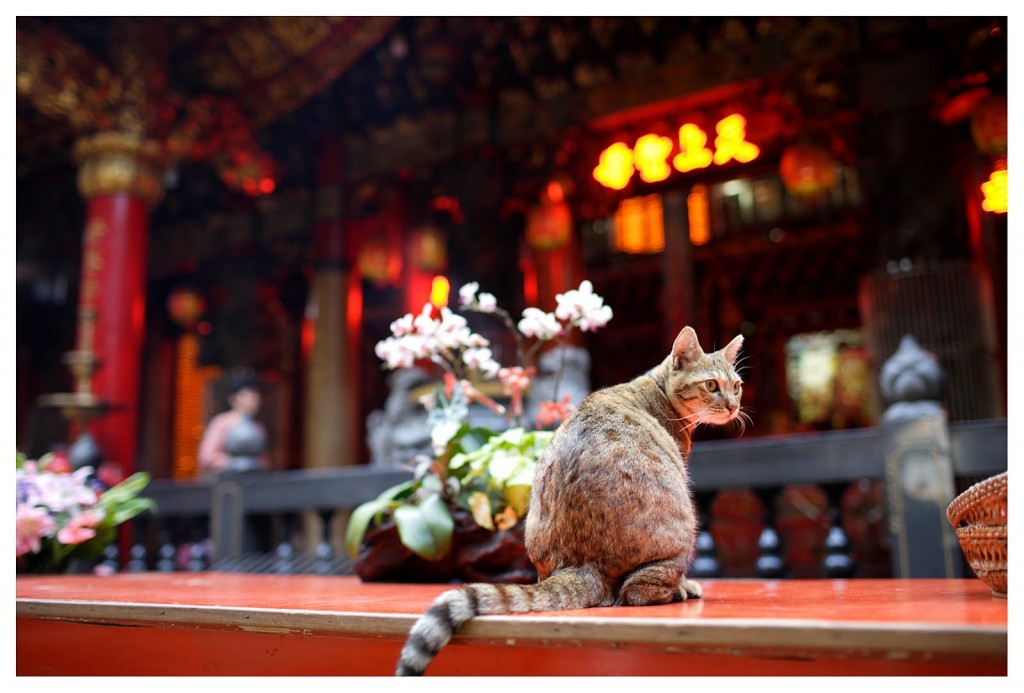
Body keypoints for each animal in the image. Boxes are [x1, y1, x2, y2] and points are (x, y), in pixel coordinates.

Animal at [393, 325, 745, 675]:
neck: (657, 390)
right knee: (637, 591)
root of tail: (580, 564)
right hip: (682, 531)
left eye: (737, 386)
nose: (733, 406)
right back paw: (679, 591)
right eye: (712, 385)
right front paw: (690, 585)